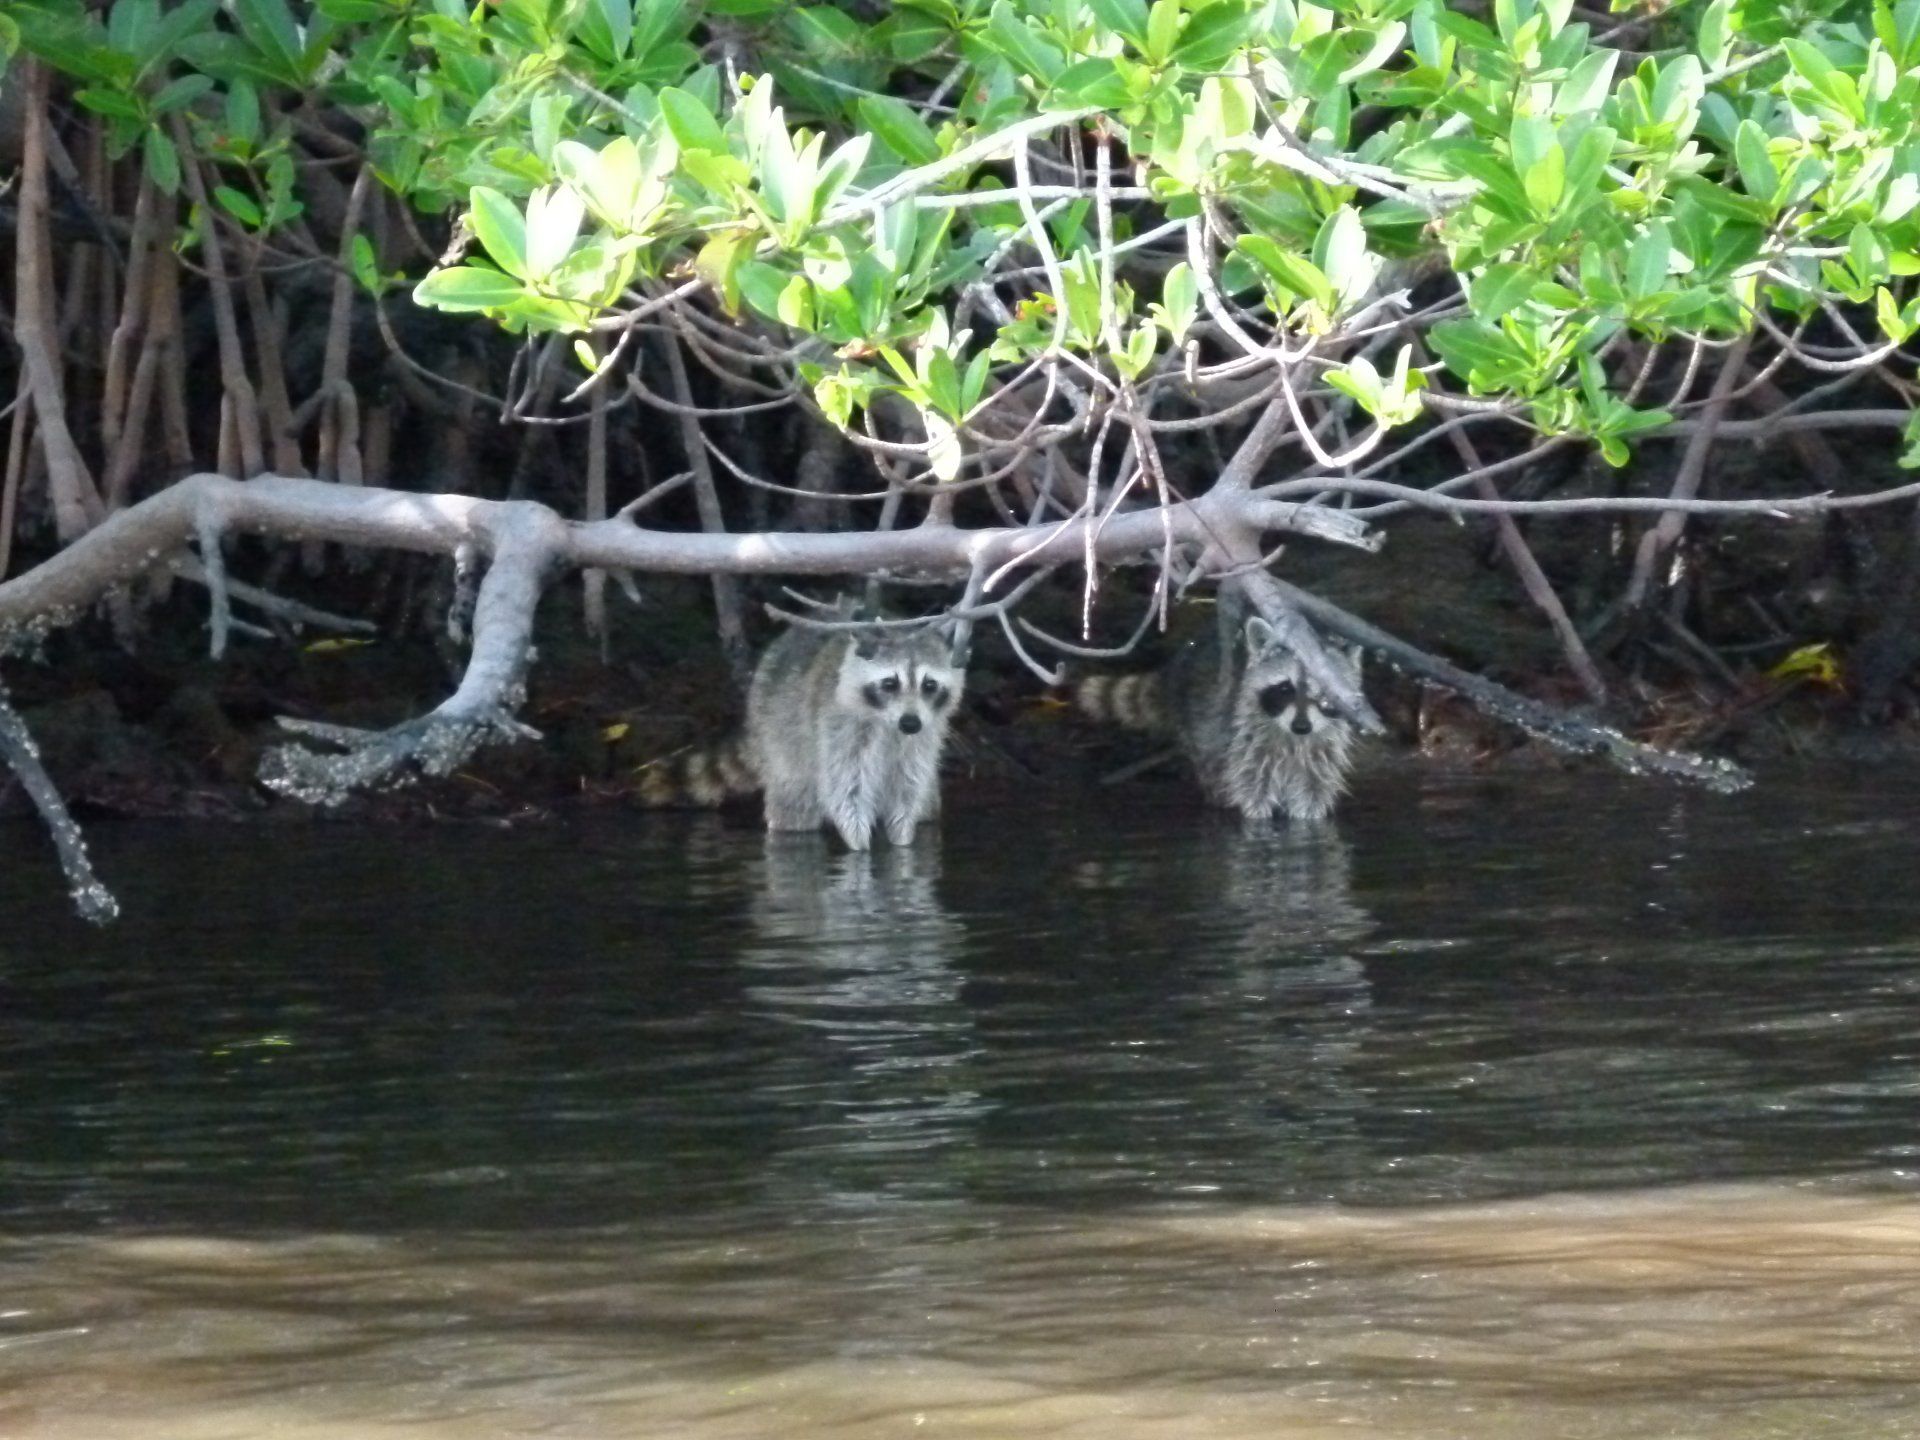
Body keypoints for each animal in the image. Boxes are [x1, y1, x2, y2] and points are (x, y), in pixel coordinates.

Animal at [639, 615, 965, 850]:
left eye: (929, 685)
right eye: (890, 684)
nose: (910, 723)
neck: (886, 721)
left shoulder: (925, 735)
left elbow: (908, 789)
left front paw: (903, 844)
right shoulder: (838, 727)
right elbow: (847, 791)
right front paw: (858, 846)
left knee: (926, 804)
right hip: (781, 734)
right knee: (795, 800)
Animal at [1076, 612, 1362, 823]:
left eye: (1327, 693)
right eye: (1285, 689)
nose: (1301, 726)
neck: (1293, 737)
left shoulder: (1324, 745)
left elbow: (1313, 788)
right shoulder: (1241, 733)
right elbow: (1250, 786)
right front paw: (1256, 820)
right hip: (1199, 724)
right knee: (1214, 767)